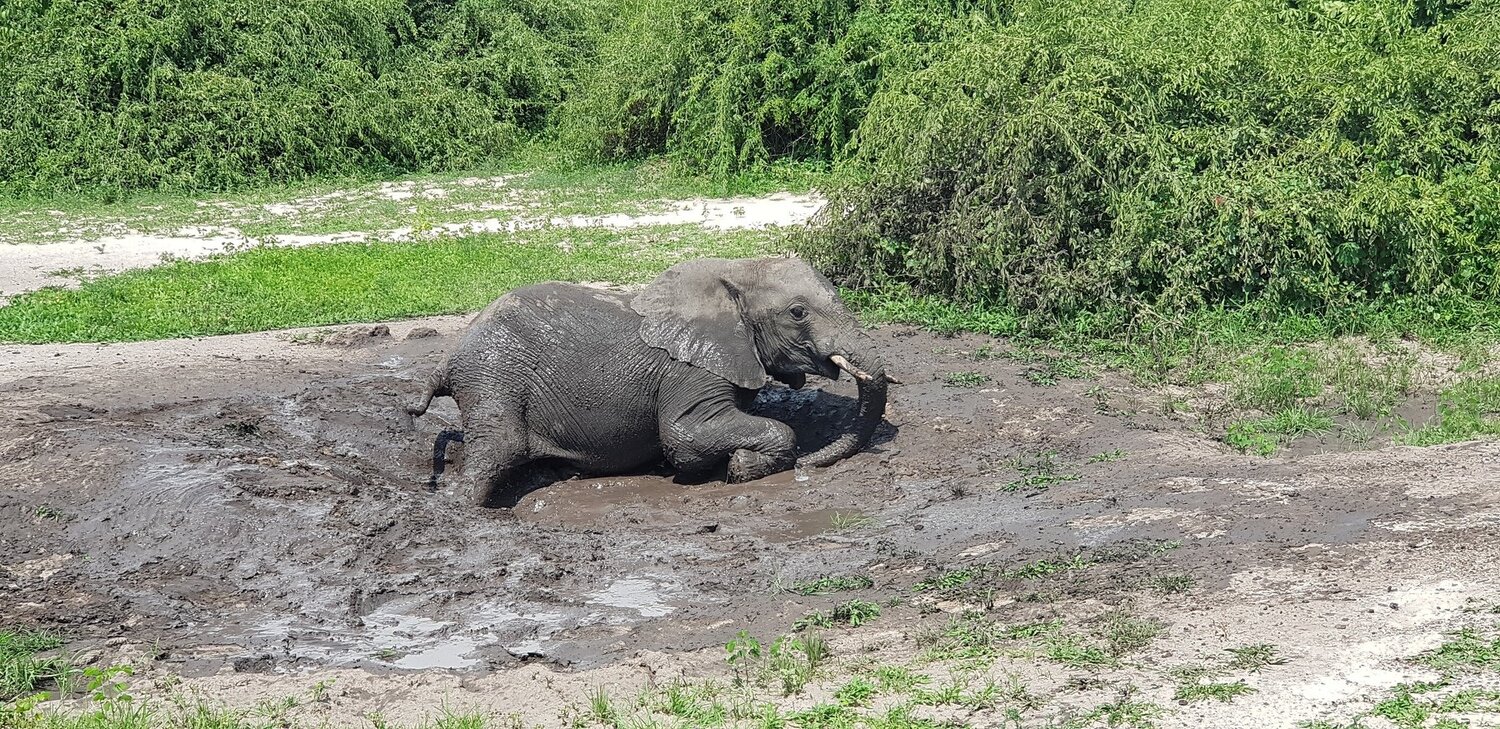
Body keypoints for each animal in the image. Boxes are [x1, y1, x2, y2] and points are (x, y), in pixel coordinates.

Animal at [406, 255, 895, 508]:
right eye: (798, 312)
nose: (813, 464)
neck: (736, 271)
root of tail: (450, 356)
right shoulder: (690, 370)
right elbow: (684, 435)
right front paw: (740, 466)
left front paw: (741, 462)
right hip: (494, 374)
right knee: (500, 446)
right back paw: (462, 508)